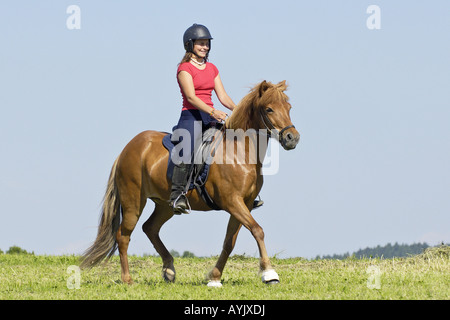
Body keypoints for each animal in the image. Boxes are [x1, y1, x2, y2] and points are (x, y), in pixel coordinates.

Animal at [79, 79, 300, 284]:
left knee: (150, 228)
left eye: (289, 107)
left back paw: (169, 270)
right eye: (269, 109)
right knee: (123, 236)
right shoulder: (232, 201)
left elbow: (229, 242)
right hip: (133, 202)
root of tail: (127, 148)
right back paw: (128, 279)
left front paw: (214, 277)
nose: (292, 138)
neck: (239, 150)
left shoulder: (243, 204)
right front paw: (269, 273)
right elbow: (257, 230)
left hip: (164, 205)